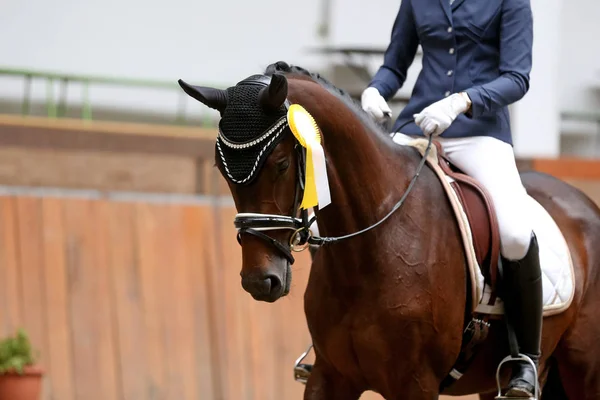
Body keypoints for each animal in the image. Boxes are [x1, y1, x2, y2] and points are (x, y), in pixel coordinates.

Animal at [178, 60, 600, 400]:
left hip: (583, 372)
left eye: (281, 163)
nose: (258, 280)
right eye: (221, 169)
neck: (370, 247)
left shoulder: (415, 384)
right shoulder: (331, 376)